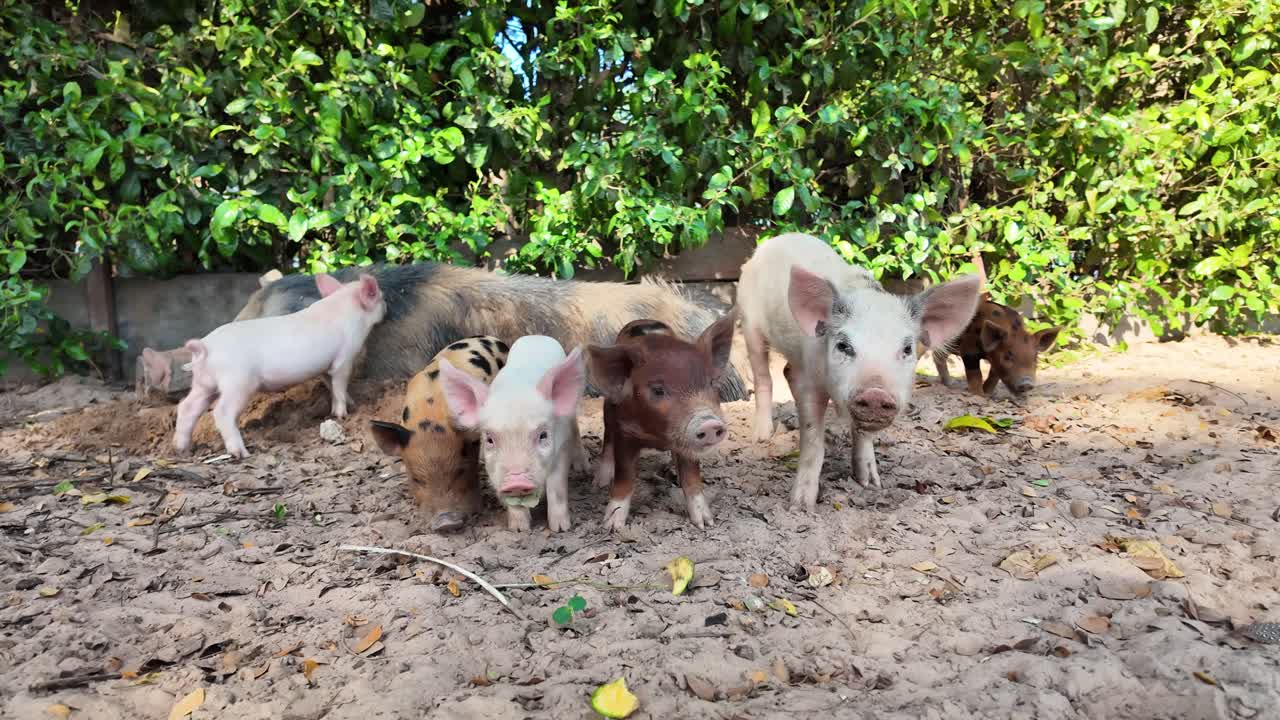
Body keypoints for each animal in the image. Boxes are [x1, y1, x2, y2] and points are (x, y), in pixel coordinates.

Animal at [174, 273, 386, 458]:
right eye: (380, 297)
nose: (386, 307)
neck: (348, 307)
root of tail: (205, 347)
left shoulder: (326, 366)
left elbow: (331, 385)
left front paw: (349, 405)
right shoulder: (345, 356)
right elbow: (340, 383)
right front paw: (343, 414)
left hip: (203, 383)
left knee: (186, 406)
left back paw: (182, 448)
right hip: (238, 382)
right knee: (222, 411)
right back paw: (241, 453)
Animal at [438, 336, 588, 532]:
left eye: (543, 435)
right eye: (490, 439)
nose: (517, 482)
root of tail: (536, 336)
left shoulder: (561, 448)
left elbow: (556, 486)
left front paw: (561, 529)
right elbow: (514, 503)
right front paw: (519, 529)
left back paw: (582, 469)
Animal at [587, 314, 736, 530]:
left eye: (710, 383)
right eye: (658, 390)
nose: (708, 423)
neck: (658, 436)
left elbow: (692, 478)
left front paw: (705, 523)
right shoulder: (625, 432)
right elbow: (625, 476)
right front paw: (612, 527)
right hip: (608, 408)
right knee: (607, 439)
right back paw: (600, 482)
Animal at [738, 232, 980, 509]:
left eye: (907, 349)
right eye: (843, 346)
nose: (876, 393)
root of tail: (771, 242)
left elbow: (863, 434)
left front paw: (871, 483)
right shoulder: (810, 381)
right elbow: (812, 439)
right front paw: (801, 505)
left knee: (787, 371)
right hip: (749, 322)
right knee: (763, 377)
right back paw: (761, 436)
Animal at [932, 295, 1061, 396]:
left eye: (1035, 358)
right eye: (1007, 357)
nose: (1027, 383)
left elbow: (994, 376)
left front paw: (988, 394)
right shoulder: (968, 350)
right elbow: (975, 374)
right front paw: (978, 395)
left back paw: (949, 384)